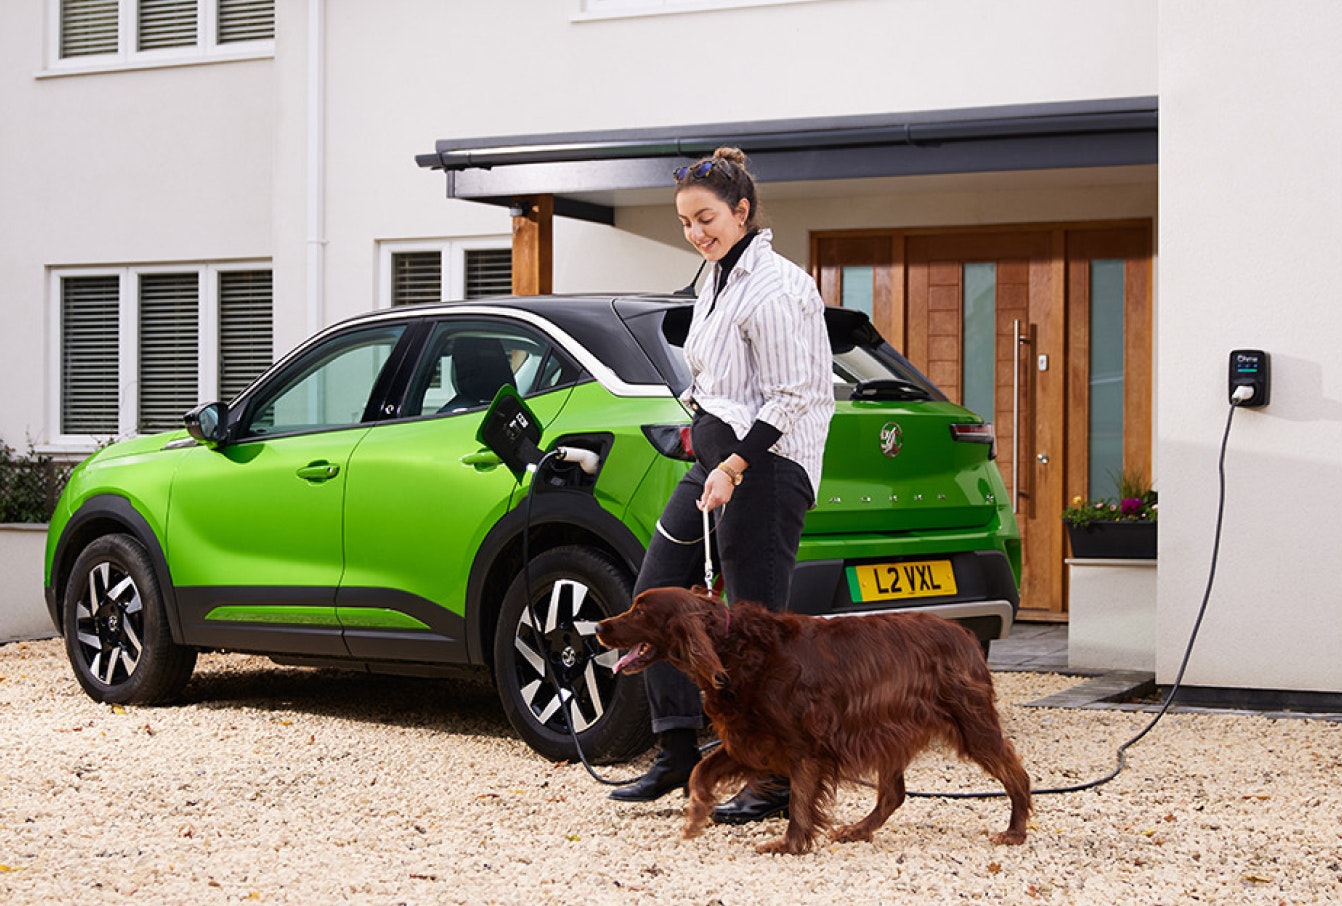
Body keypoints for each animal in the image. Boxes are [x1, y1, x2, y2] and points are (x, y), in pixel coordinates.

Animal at [593, 585, 1030, 853]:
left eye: (640, 610)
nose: (597, 626)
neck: (732, 650)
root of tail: (964, 635)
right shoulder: (749, 739)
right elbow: (700, 771)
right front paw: (696, 818)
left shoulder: (805, 747)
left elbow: (801, 799)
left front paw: (789, 845)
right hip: (889, 732)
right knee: (893, 793)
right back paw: (857, 830)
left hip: (971, 725)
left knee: (1017, 775)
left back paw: (1015, 831)